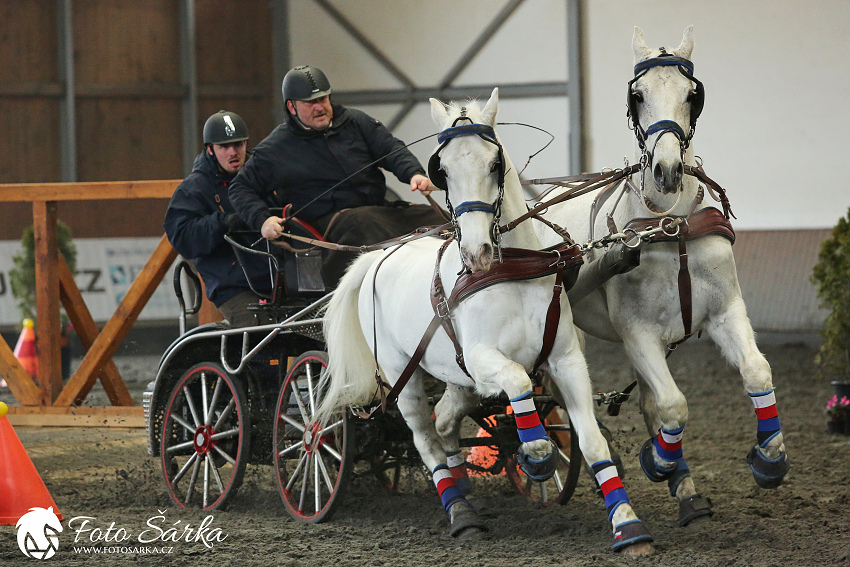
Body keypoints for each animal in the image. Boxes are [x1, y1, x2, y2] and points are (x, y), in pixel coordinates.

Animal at [318, 91, 656, 556]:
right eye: (441, 170)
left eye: (494, 163)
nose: (476, 251)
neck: (511, 270)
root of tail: (378, 256)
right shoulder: (482, 358)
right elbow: (518, 381)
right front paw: (536, 455)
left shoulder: (565, 359)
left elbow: (591, 441)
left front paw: (627, 525)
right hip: (402, 374)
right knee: (424, 437)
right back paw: (460, 513)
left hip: (455, 377)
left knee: (445, 422)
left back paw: (463, 489)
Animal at [536, 25, 788, 524]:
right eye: (637, 95)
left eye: (693, 94)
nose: (667, 171)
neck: (672, 225)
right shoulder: (637, 332)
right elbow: (673, 404)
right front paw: (658, 461)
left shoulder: (726, 311)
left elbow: (755, 372)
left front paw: (768, 461)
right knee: (563, 395)